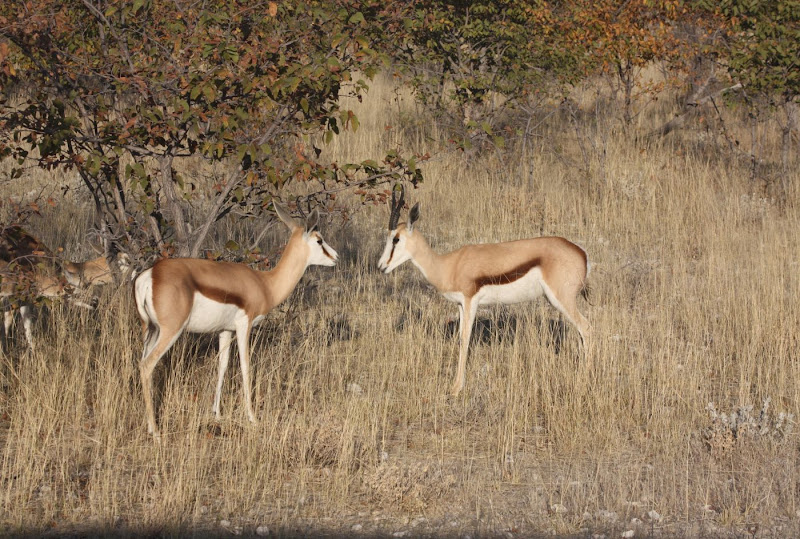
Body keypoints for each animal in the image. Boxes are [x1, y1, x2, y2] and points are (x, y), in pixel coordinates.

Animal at [134, 204, 338, 438]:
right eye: (319, 240)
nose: (336, 257)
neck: (265, 284)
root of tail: (150, 275)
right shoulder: (244, 326)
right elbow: (245, 366)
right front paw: (253, 418)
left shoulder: (225, 330)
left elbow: (222, 365)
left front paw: (217, 414)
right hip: (170, 331)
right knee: (147, 365)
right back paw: (156, 432)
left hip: (151, 330)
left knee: (143, 364)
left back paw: (149, 424)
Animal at [378, 188, 592, 398]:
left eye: (396, 239)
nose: (381, 266)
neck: (448, 265)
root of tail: (582, 253)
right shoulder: (461, 304)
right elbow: (461, 336)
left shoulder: (470, 301)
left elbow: (465, 339)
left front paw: (456, 388)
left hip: (561, 299)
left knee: (586, 327)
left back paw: (585, 378)